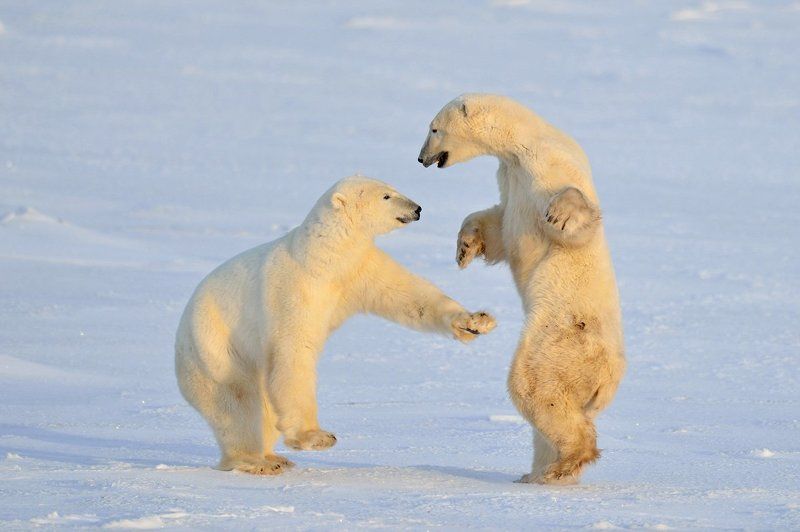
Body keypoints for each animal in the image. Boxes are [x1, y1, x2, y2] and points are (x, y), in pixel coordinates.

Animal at [175, 175, 496, 475]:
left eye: (393, 188)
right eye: (386, 195)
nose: (417, 209)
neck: (324, 256)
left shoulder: (359, 268)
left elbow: (409, 296)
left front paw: (475, 322)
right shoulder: (294, 289)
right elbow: (293, 351)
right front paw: (316, 436)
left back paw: (274, 457)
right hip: (215, 351)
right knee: (237, 404)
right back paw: (255, 461)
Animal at [418, 94, 625, 485]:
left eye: (434, 129)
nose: (421, 158)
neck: (522, 145)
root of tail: (608, 380)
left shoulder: (549, 167)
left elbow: (574, 226)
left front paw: (561, 213)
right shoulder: (509, 179)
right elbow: (498, 226)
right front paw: (464, 247)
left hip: (562, 339)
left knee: (534, 386)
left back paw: (564, 463)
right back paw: (538, 473)